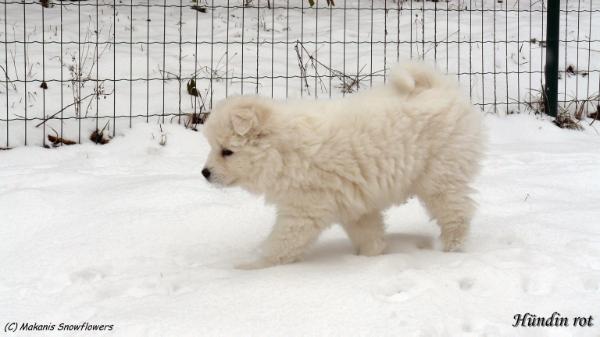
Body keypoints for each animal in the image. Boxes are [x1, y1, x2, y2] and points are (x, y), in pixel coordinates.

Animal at [202, 62, 482, 268]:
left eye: (227, 152)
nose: (204, 173)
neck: (281, 151)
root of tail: (440, 87)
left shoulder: (303, 210)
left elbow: (281, 243)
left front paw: (252, 268)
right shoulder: (355, 205)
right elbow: (369, 235)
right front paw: (369, 259)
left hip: (442, 175)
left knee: (456, 213)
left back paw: (452, 249)